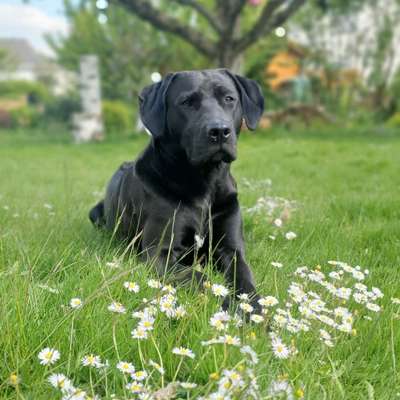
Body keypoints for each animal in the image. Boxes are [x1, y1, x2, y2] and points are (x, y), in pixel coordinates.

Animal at [91, 69, 266, 310]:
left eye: (229, 98)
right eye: (186, 102)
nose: (219, 131)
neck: (205, 183)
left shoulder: (232, 250)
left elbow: (244, 277)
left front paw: (253, 307)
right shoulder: (159, 255)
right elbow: (200, 278)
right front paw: (227, 303)